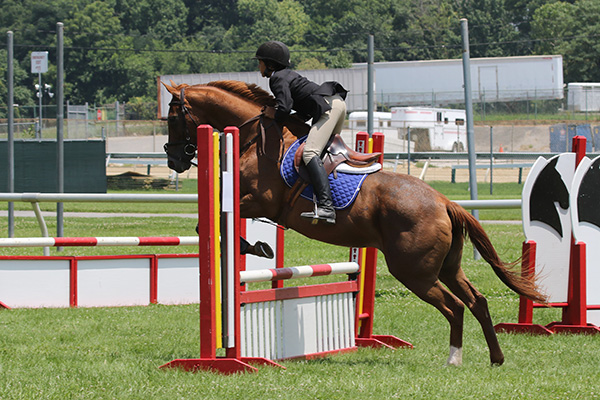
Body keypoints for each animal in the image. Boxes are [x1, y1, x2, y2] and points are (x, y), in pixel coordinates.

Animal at [162, 80, 548, 366]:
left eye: (172, 117)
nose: (174, 159)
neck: (255, 136)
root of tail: (445, 202)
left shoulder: (259, 200)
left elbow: (211, 224)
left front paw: (255, 245)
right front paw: (255, 245)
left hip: (415, 272)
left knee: (454, 307)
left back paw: (453, 359)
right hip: (447, 267)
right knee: (477, 301)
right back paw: (496, 358)